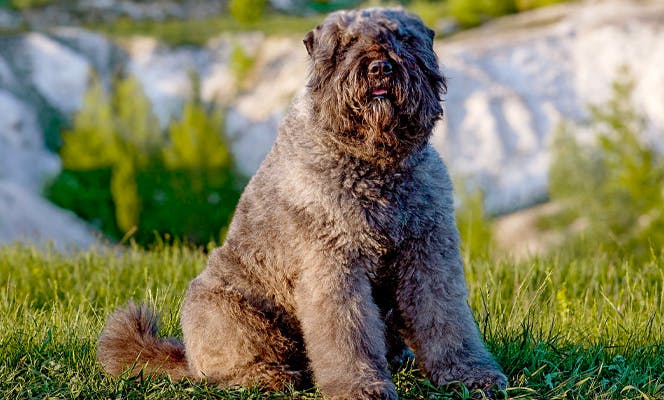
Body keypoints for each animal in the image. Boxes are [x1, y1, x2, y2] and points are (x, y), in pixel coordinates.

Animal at [97, 7, 508, 398]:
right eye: (348, 42)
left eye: (403, 37)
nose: (380, 67)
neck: (377, 167)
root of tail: (186, 356)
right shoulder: (333, 264)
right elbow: (347, 331)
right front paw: (360, 387)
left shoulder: (428, 254)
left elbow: (446, 317)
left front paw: (472, 376)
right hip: (226, 312)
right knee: (231, 366)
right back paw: (271, 377)